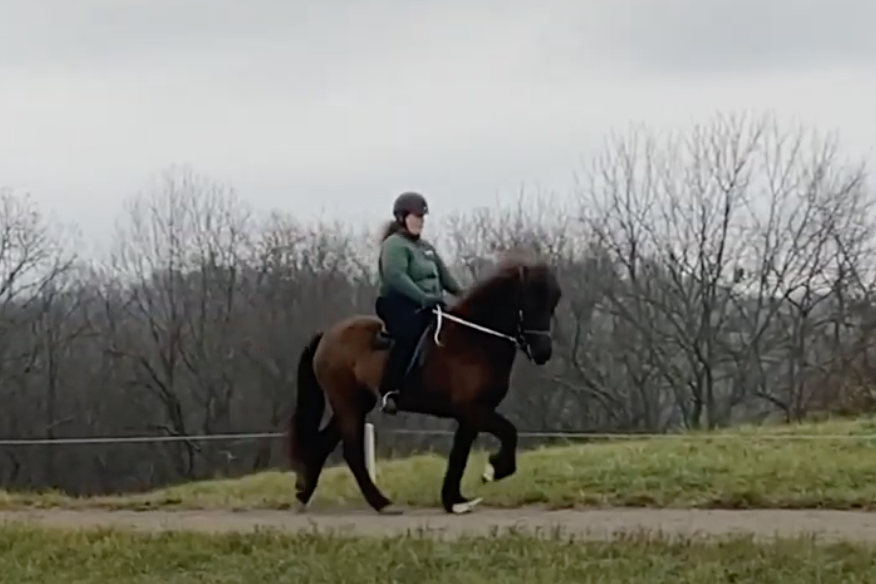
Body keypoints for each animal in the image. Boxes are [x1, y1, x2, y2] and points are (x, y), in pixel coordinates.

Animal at [288, 258, 560, 512]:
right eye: (530, 300)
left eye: (553, 301)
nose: (543, 352)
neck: (475, 340)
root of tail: (327, 335)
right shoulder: (473, 410)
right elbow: (508, 432)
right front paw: (494, 470)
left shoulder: (472, 416)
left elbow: (459, 454)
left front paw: (454, 500)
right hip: (348, 403)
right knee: (352, 452)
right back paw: (381, 502)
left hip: (356, 403)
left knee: (323, 444)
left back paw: (303, 493)